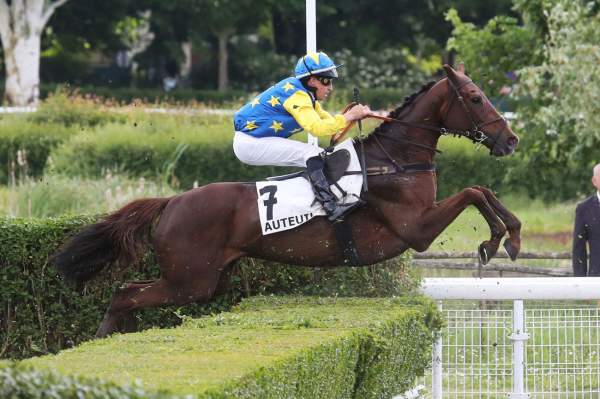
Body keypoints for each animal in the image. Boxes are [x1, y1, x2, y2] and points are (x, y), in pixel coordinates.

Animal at [54, 65, 516, 338]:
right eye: (476, 98)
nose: (510, 140)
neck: (396, 161)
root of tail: (172, 202)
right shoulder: (414, 229)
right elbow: (473, 192)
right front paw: (497, 240)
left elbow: (483, 191)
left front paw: (509, 236)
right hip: (190, 279)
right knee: (124, 294)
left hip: (205, 280)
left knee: (129, 291)